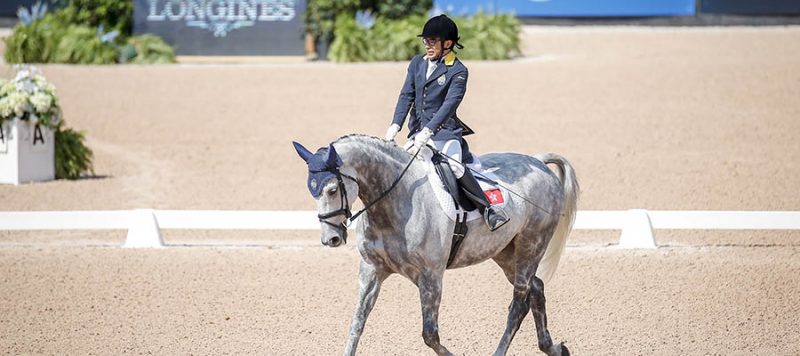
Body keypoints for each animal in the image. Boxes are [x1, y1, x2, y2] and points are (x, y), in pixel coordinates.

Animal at [292, 135, 576, 354]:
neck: (394, 202)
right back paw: (553, 348)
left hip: (532, 244)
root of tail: (537, 161)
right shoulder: (372, 270)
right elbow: (357, 323)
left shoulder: (431, 276)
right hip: (506, 253)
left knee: (518, 304)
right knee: (536, 288)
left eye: (331, 190)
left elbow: (430, 334)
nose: (330, 239)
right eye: (311, 190)